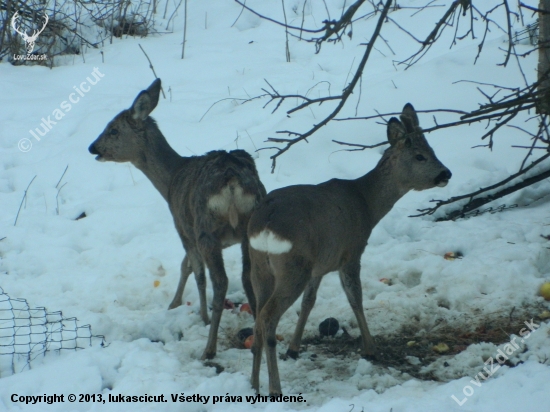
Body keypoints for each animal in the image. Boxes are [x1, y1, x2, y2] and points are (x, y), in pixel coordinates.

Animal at [88, 78, 268, 360]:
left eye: (113, 129)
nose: (92, 147)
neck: (171, 180)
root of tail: (232, 180)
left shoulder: (183, 228)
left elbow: (194, 271)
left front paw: (199, 316)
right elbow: (188, 266)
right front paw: (177, 305)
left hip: (206, 228)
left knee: (220, 282)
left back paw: (209, 349)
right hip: (251, 224)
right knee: (250, 277)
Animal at [249, 102, 452, 392]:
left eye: (432, 150)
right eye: (420, 156)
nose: (446, 173)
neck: (366, 203)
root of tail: (264, 222)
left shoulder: (321, 264)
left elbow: (310, 301)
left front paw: (294, 348)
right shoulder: (351, 251)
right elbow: (355, 297)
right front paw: (371, 349)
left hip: (260, 267)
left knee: (257, 316)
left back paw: (254, 383)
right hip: (292, 266)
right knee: (267, 317)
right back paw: (275, 388)